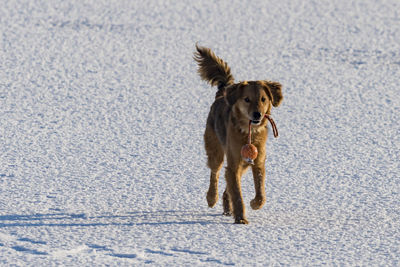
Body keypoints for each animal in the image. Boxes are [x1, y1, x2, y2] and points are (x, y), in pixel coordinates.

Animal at [193, 45, 282, 225]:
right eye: (247, 99)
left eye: (263, 99)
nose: (257, 114)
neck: (249, 133)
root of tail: (223, 92)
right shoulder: (233, 163)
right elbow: (237, 194)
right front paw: (241, 218)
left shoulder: (257, 162)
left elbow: (260, 191)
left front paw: (255, 203)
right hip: (216, 151)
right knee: (215, 173)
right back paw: (211, 198)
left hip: (243, 164)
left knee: (227, 184)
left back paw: (228, 209)